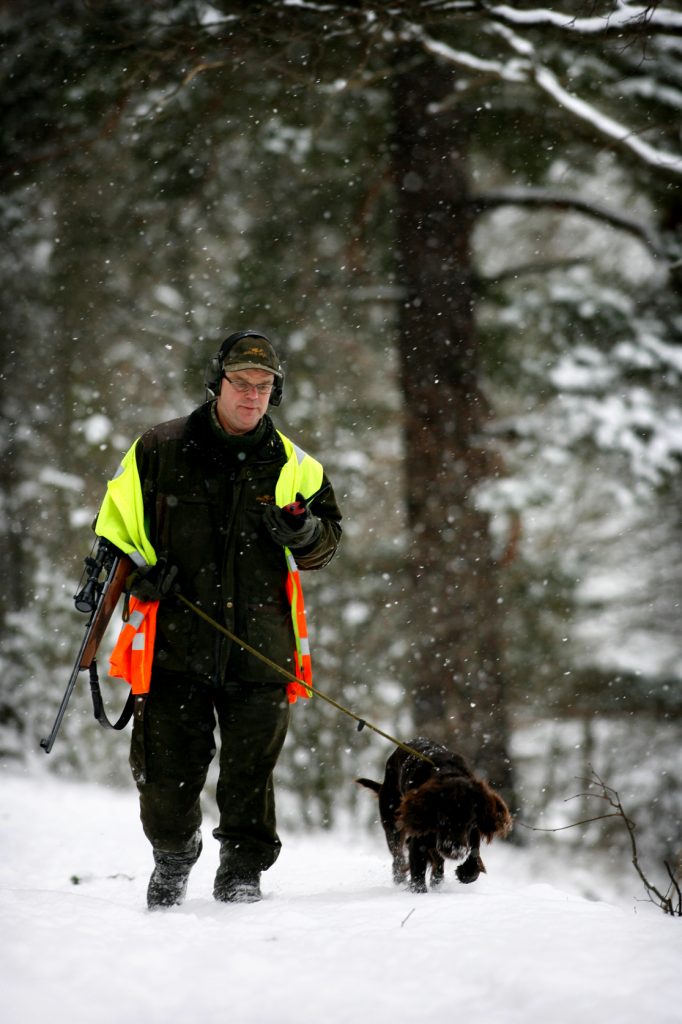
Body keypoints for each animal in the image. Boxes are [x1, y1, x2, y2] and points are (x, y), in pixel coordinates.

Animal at [356, 741, 509, 892]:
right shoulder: (418, 839)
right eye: (443, 820)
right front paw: (419, 891)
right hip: (392, 822)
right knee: (398, 857)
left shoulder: (471, 832)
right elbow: (418, 873)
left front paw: (466, 872)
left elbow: (474, 854)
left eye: (470, 822)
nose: (455, 851)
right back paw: (400, 879)